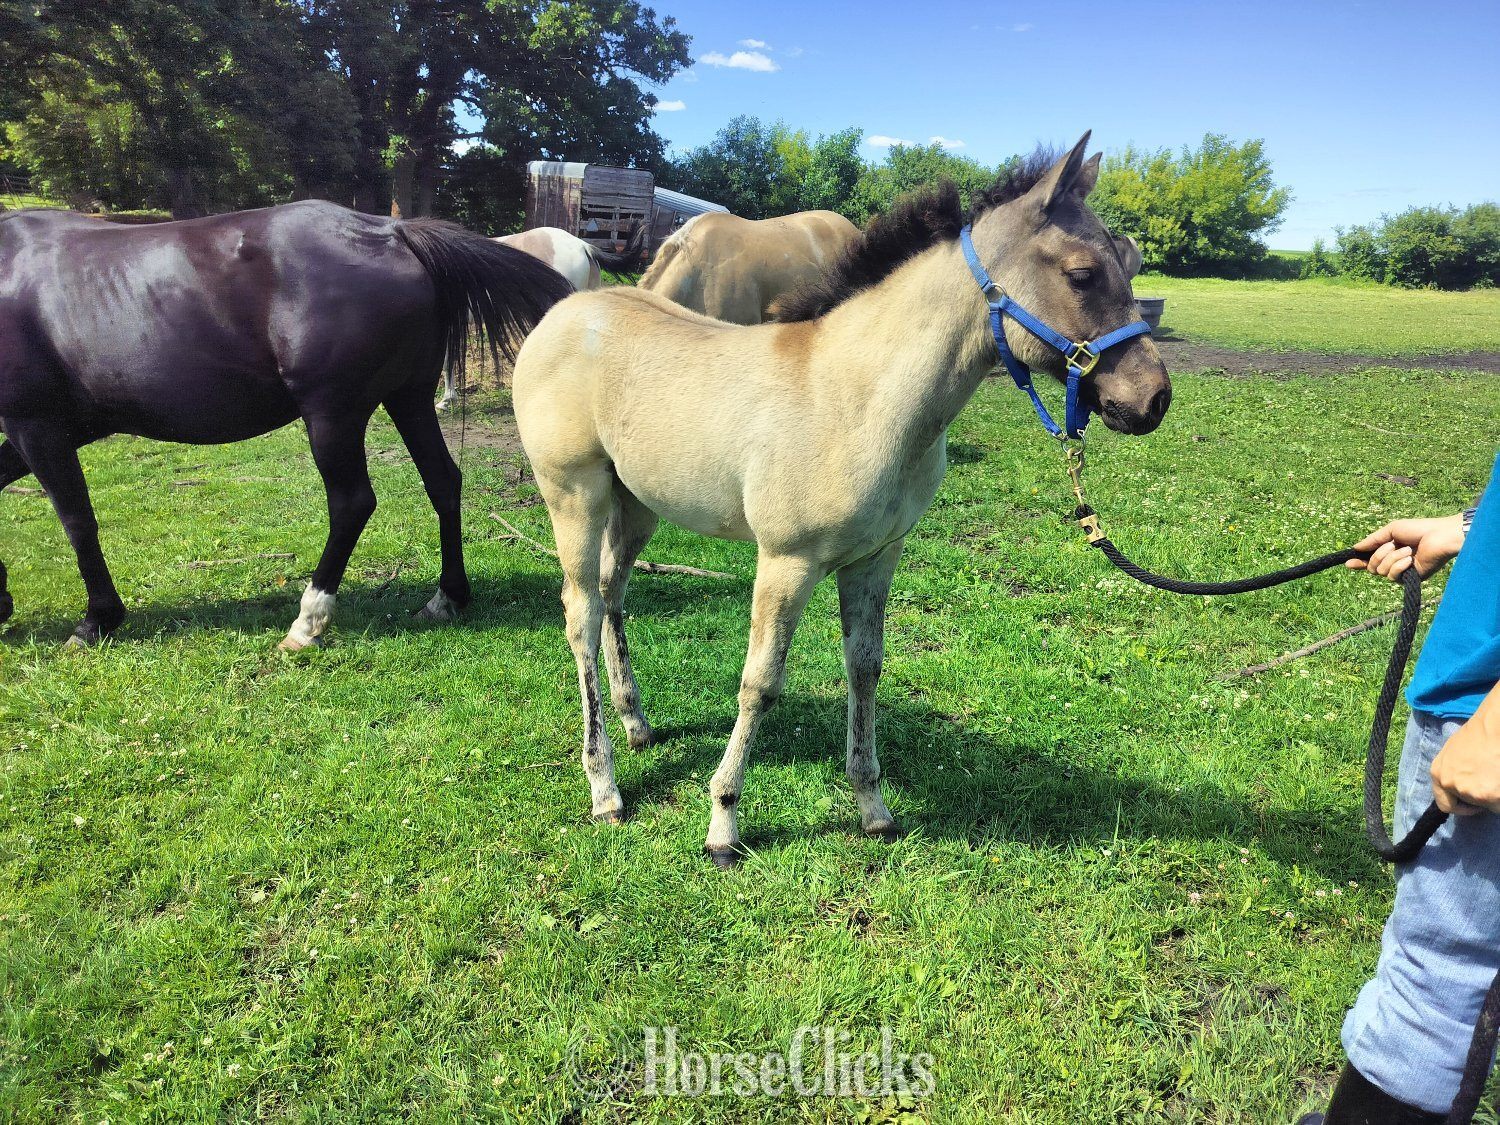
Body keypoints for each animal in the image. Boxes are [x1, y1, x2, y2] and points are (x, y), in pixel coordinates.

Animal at [0, 199, 572, 648]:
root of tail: (391, 232)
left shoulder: (37, 428)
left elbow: (77, 521)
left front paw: (96, 620)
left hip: (332, 415)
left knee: (352, 503)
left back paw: (309, 618)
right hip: (407, 400)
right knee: (443, 481)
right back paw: (446, 597)